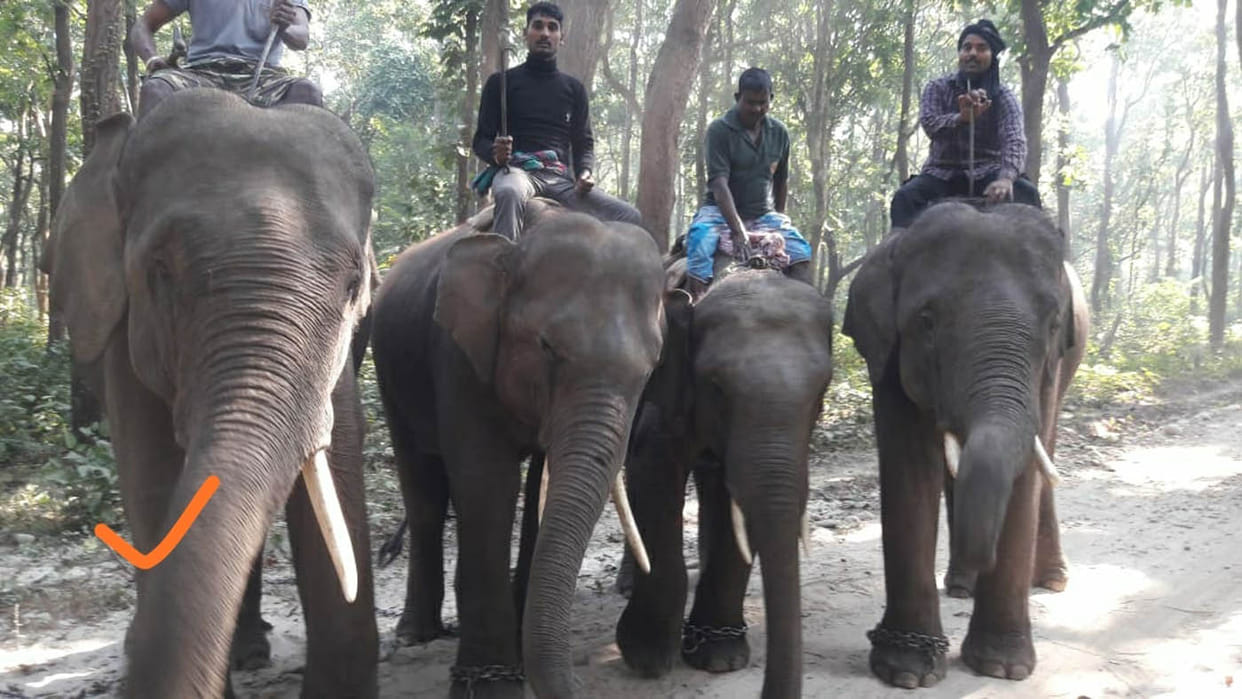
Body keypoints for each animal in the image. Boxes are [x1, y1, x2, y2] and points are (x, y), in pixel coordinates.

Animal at [370, 207, 667, 698]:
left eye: (652, 367)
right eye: (546, 346)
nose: (579, 684)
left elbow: (540, 491)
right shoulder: (459, 353)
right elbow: (488, 482)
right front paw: (492, 684)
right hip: (389, 367)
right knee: (422, 485)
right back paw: (416, 634)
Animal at [615, 268, 834, 699]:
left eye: (822, 390)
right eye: (716, 386)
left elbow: (735, 504)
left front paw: (720, 657)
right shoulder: (665, 400)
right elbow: (652, 476)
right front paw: (646, 657)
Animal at [841, 202, 1088, 688]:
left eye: (1053, 323)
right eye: (926, 320)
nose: (982, 558)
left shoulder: (1049, 367)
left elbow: (1024, 475)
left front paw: (1003, 668)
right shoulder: (888, 354)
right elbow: (910, 469)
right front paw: (907, 672)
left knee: (1044, 450)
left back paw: (1049, 580)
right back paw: (961, 587)